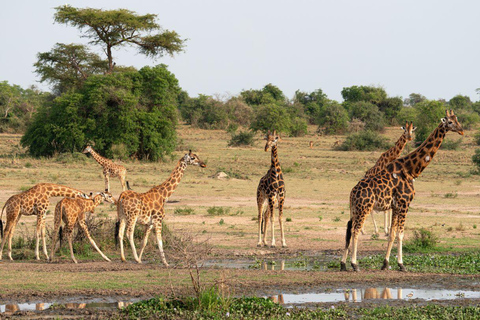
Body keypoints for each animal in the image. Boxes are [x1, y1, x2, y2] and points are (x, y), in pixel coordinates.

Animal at [340, 109, 464, 270]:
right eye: (450, 122)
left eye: (457, 119)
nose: (461, 130)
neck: (411, 170)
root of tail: (352, 193)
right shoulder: (405, 204)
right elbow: (401, 234)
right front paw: (401, 264)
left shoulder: (395, 206)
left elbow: (392, 234)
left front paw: (385, 263)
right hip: (364, 208)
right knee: (355, 231)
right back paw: (355, 264)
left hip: (355, 209)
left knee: (348, 229)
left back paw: (343, 264)